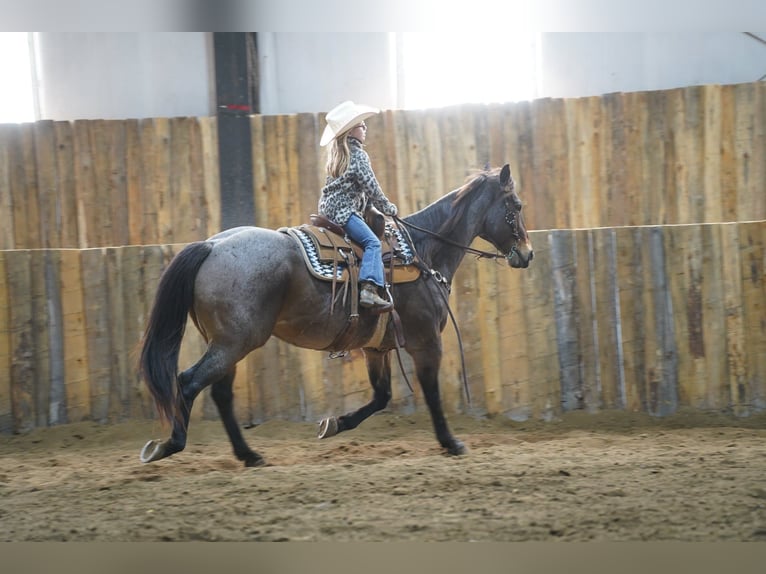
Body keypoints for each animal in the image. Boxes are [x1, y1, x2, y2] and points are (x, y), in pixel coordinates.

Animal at [138, 163, 533, 467]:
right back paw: (168, 445)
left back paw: (249, 455)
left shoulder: (376, 348)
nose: (527, 254)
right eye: (515, 205)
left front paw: (334, 424)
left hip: (226, 343)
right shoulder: (426, 343)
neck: (423, 252)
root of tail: (211, 245)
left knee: (220, 394)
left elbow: (381, 396)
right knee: (188, 382)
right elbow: (431, 394)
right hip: (234, 343)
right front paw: (451, 442)